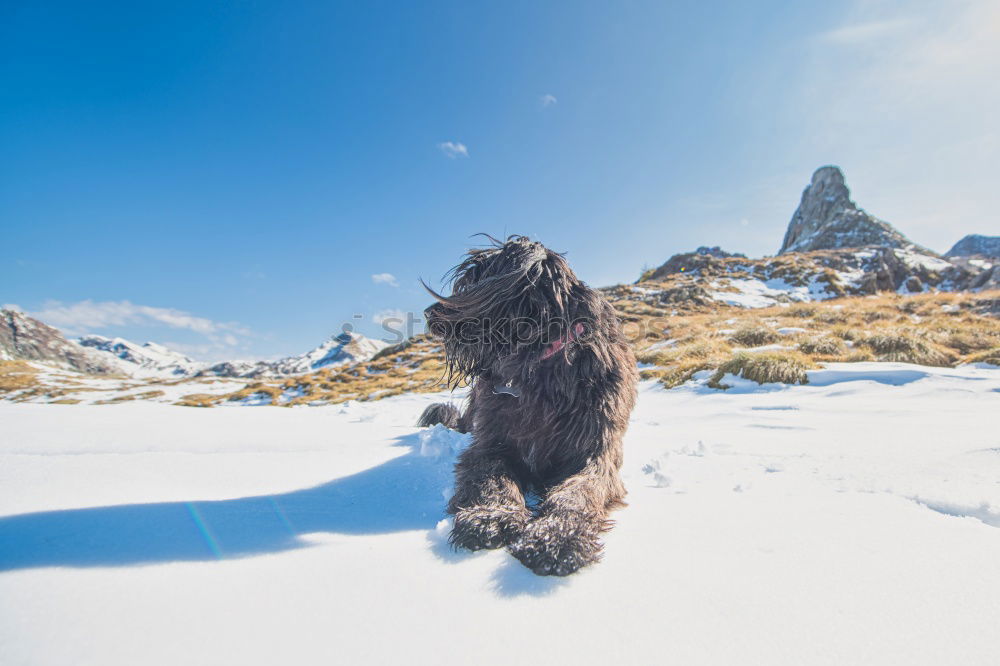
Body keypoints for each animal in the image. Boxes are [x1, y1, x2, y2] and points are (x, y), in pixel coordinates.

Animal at [418, 236, 636, 572]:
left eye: (474, 282)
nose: (429, 315)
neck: (540, 367)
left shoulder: (596, 453)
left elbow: (578, 492)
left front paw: (556, 536)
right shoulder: (490, 445)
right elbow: (493, 479)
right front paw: (491, 517)